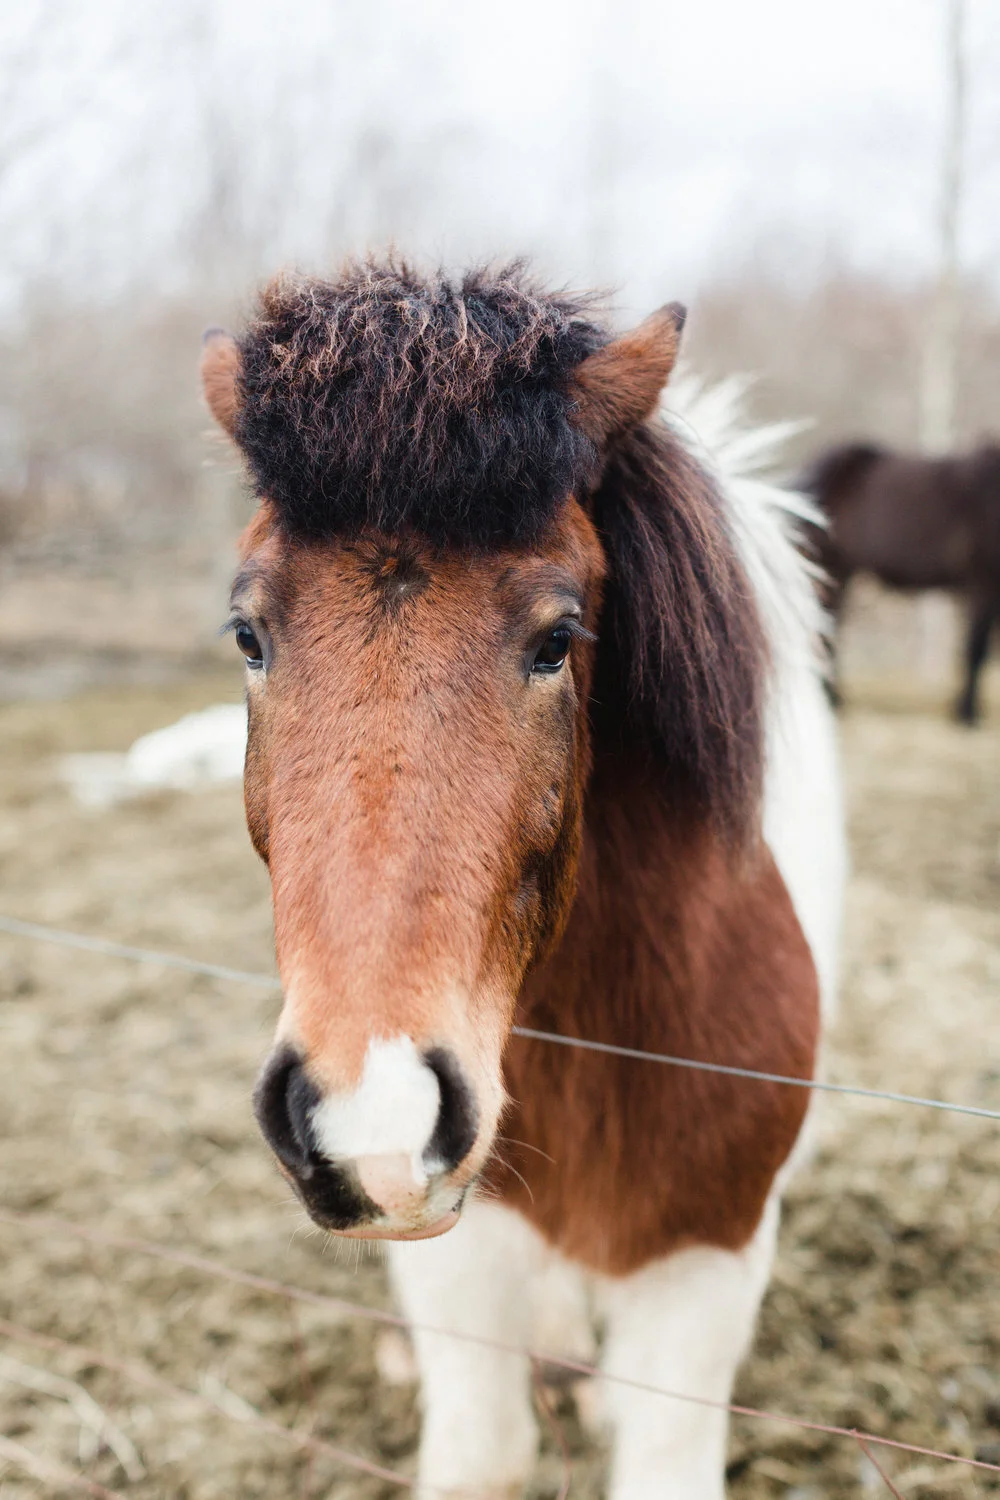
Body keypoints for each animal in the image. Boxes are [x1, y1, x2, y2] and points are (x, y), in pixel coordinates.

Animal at [199, 261, 844, 1499]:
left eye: (557, 640)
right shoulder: (465, 1254)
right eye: (249, 636)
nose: (372, 1111)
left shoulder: (707, 1268)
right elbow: (482, 1453)